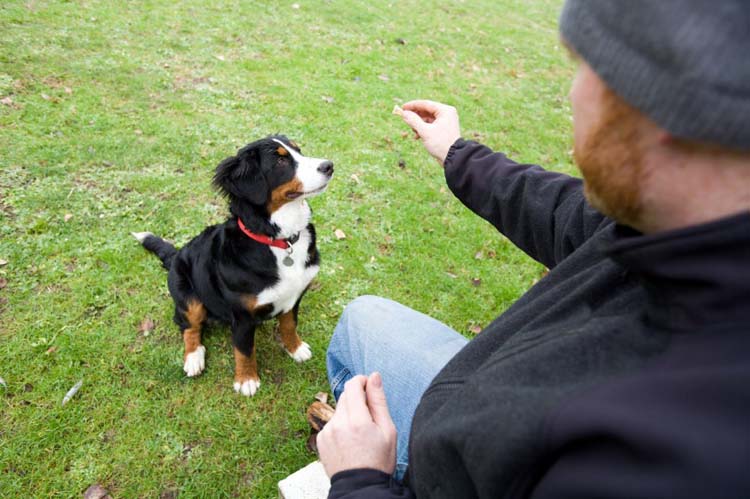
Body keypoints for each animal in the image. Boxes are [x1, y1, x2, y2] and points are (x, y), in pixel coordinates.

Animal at [132, 135, 334, 396]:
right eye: (280, 161)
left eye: (298, 151)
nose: (329, 166)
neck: (279, 241)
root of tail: (176, 255)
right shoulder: (242, 315)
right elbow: (244, 349)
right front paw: (246, 379)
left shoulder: (294, 296)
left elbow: (289, 325)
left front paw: (296, 348)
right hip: (188, 295)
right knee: (189, 326)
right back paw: (194, 358)